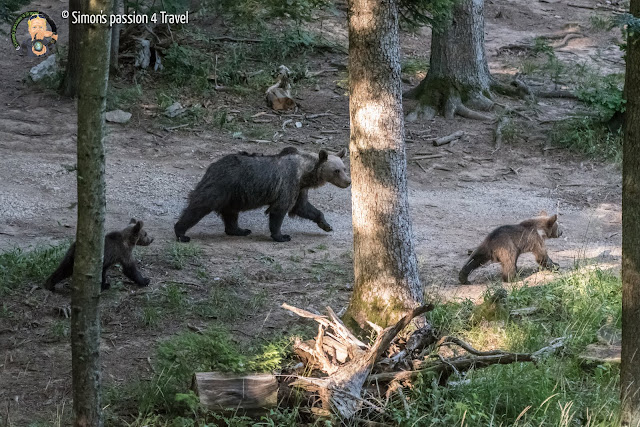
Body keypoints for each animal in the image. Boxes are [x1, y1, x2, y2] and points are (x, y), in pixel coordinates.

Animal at [174, 147, 351, 243]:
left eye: (344, 168)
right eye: (336, 170)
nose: (348, 182)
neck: (305, 173)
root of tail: (211, 166)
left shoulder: (300, 188)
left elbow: (303, 207)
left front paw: (326, 225)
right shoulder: (288, 183)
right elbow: (279, 210)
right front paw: (282, 236)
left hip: (233, 194)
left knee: (230, 213)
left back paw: (239, 230)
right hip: (221, 186)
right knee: (199, 206)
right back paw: (181, 233)